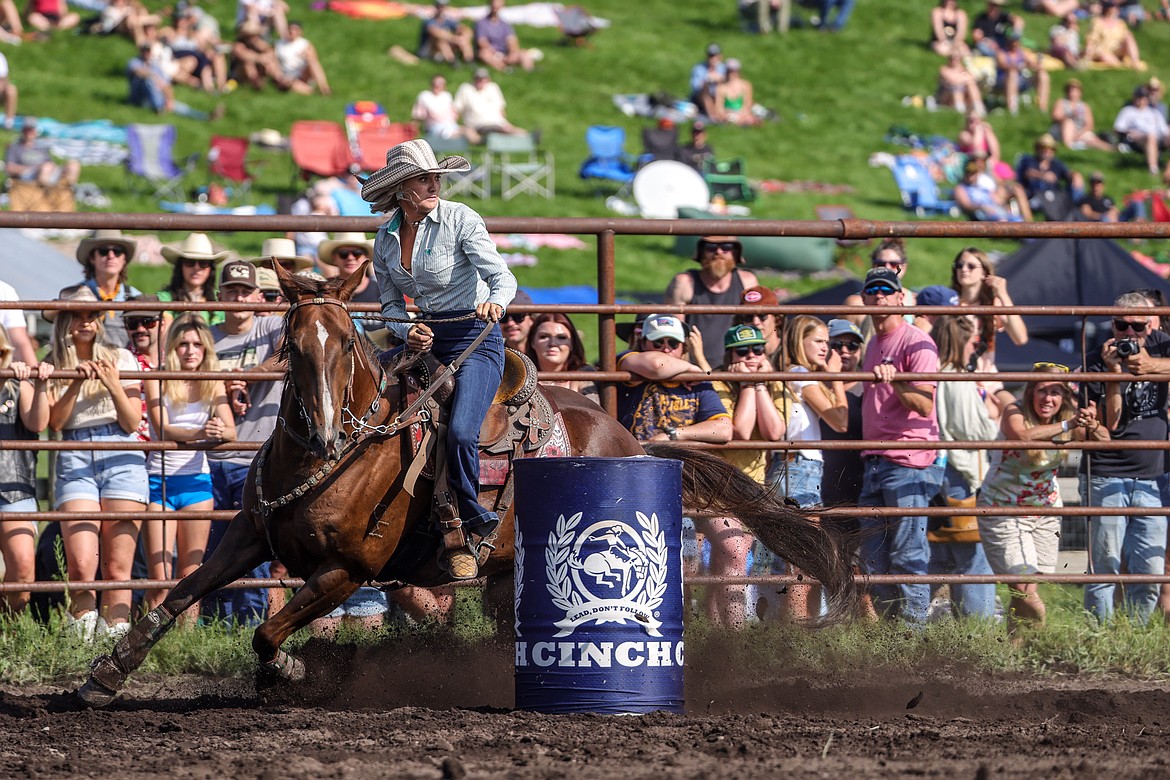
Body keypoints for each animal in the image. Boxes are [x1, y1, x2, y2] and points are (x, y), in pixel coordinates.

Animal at [77, 260, 856, 706]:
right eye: (291, 345)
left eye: (347, 345)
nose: (326, 434)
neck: (331, 462)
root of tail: (629, 437)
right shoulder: (246, 536)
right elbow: (179, 594)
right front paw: (105, 674)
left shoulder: (345, 570)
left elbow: (268, 631)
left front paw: (290, 674)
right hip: (507, 572)